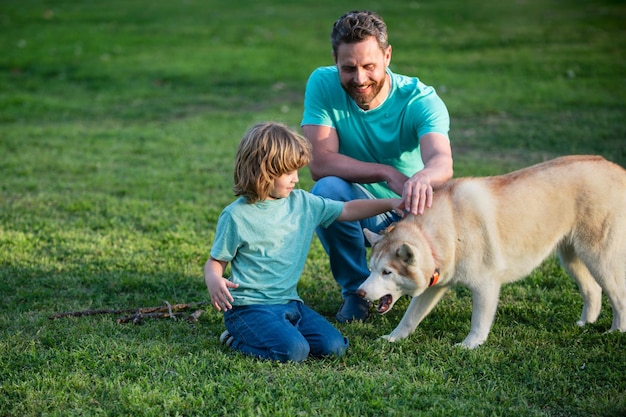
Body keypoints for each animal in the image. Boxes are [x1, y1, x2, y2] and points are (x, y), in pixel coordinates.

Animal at [356, 154, 624, 346]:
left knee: (618, 296)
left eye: (387, 272)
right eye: (371, 269)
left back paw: (616, 331)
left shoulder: (485, 285)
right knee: (593, 290)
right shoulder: (434, 285)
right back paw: (585, 323)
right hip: (570, 256)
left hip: (599, 258)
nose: (359, 292)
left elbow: (479, 321)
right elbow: (409, 318)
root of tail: (614, 167)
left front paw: (470, 345)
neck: (448, 229)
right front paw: (393, 338)